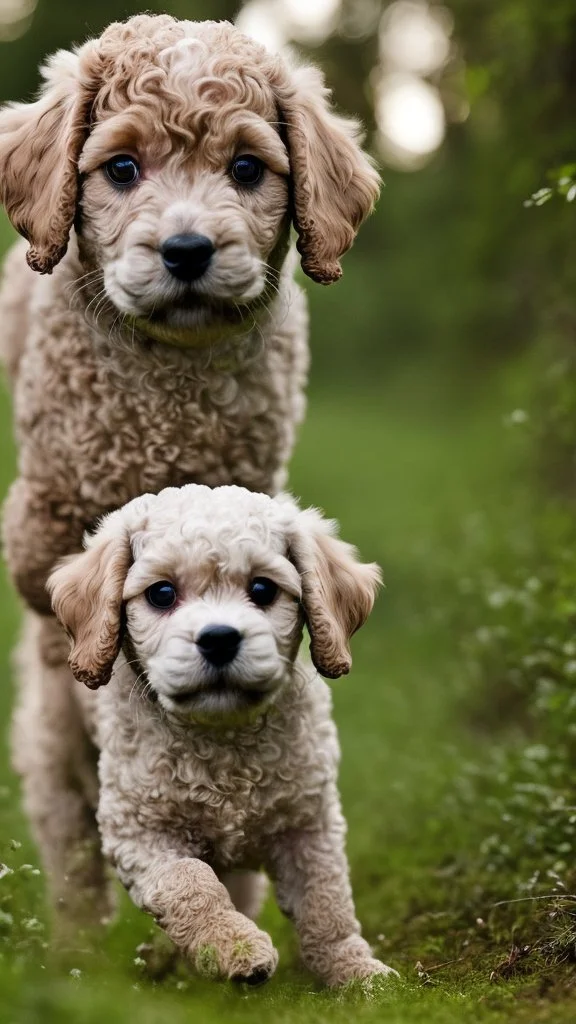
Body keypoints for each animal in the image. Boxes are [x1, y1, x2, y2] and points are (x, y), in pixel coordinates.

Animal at [12, 483, 393, 987]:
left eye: (262, 589)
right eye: (162, 593)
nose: (219, 638)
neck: (222, 737)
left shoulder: (309, 823)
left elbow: (326, 902)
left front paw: (355, 971)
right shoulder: (139, 831)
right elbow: (191, 882)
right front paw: (236, 947)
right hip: (60, 776)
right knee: (75, 878)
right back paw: (77, 954)